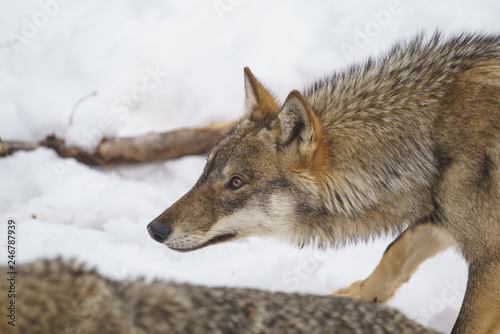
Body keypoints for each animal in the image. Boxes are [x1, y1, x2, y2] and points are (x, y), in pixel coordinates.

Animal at [147, 32, 500, 334]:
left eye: (235, 182)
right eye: (206, 170)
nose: (154, 229)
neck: (432, 136)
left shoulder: (488, 256)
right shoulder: (442, 216)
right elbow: (394, 252)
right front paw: (357, 300)